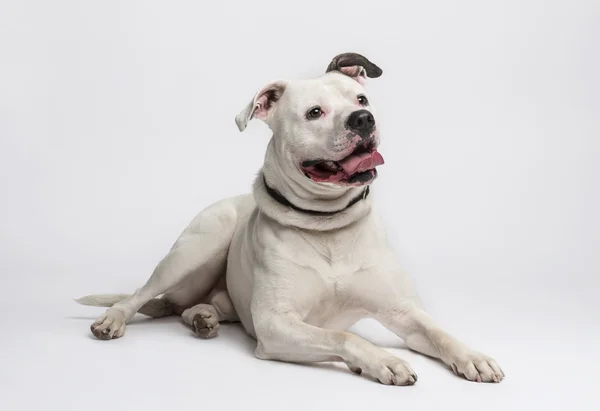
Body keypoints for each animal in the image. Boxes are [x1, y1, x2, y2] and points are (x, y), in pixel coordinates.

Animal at [77, 52, 504, 386]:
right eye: (314, 113)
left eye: (361, 98)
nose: (363, 119)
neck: (327, 224)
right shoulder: (275, 325)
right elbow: (344, 338)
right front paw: (385, 360)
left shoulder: (404, 312)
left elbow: (436, 331)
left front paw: (474, 357)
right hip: (196, 249)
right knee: (141, 295)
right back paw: (113, 320)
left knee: (194, 308)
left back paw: (204, 317)